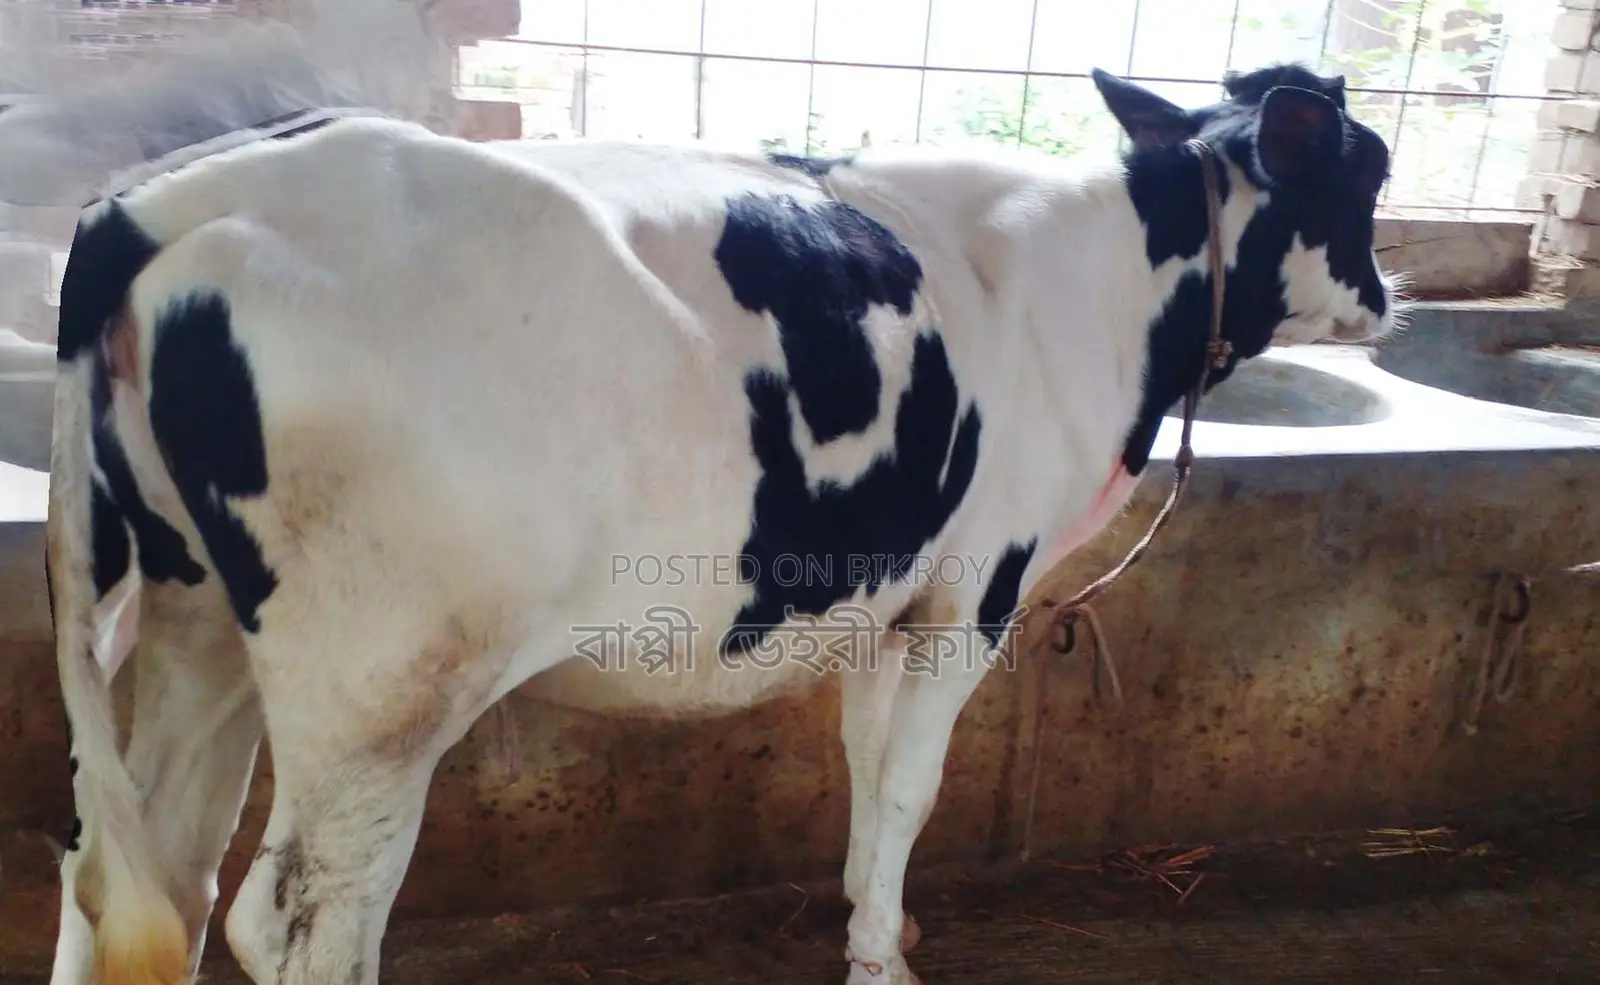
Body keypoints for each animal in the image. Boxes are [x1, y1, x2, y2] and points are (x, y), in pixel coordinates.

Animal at [41, 58, 1401, 985]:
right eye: (1366, 172)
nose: (1389, 299)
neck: (1099, 280)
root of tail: (166, 201)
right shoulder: (975, 590)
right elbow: (913, 785)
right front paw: (882, 958)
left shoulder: (886, 592)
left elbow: (866, 768)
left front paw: (875, 917)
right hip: (380, 679)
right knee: (295, 921)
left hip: (192, 616)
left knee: (133, 872)